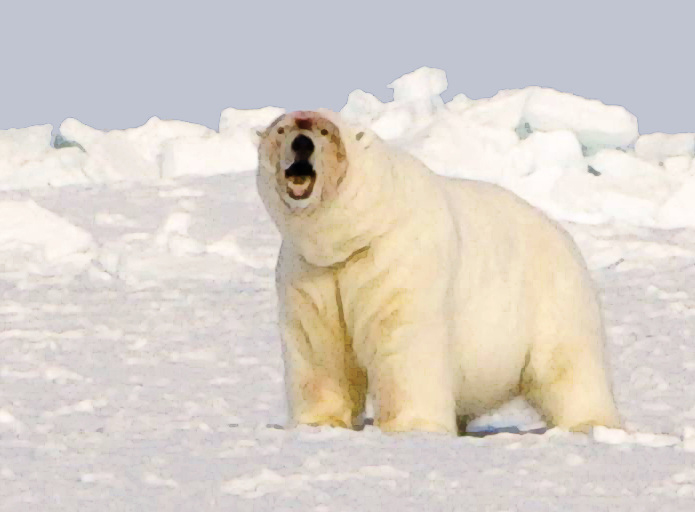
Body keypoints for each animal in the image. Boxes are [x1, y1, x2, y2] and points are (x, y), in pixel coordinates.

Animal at [256, 109, 620, 435]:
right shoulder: (309, 271)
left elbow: (404, 338)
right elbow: (318, 345)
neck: (359, 231)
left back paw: (591, 424)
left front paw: (412, 426)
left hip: (553, 299)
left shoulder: (397, 259)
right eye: (283, 129)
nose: (302, 144)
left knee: (568, 368)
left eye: (324, 131)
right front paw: (319, 423)